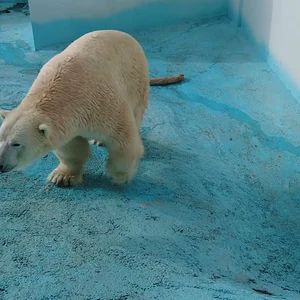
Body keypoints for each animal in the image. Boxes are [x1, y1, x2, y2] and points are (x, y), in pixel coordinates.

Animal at [0, 29, 183, 186]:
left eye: (16, 144)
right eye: (0, 138)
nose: (0, 165)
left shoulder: (102, 104)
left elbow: (123, 141)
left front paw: (118, 175)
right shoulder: (70, 122)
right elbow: (71, 148)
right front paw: (62, 177)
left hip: (136, 78)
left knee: (137, 112)